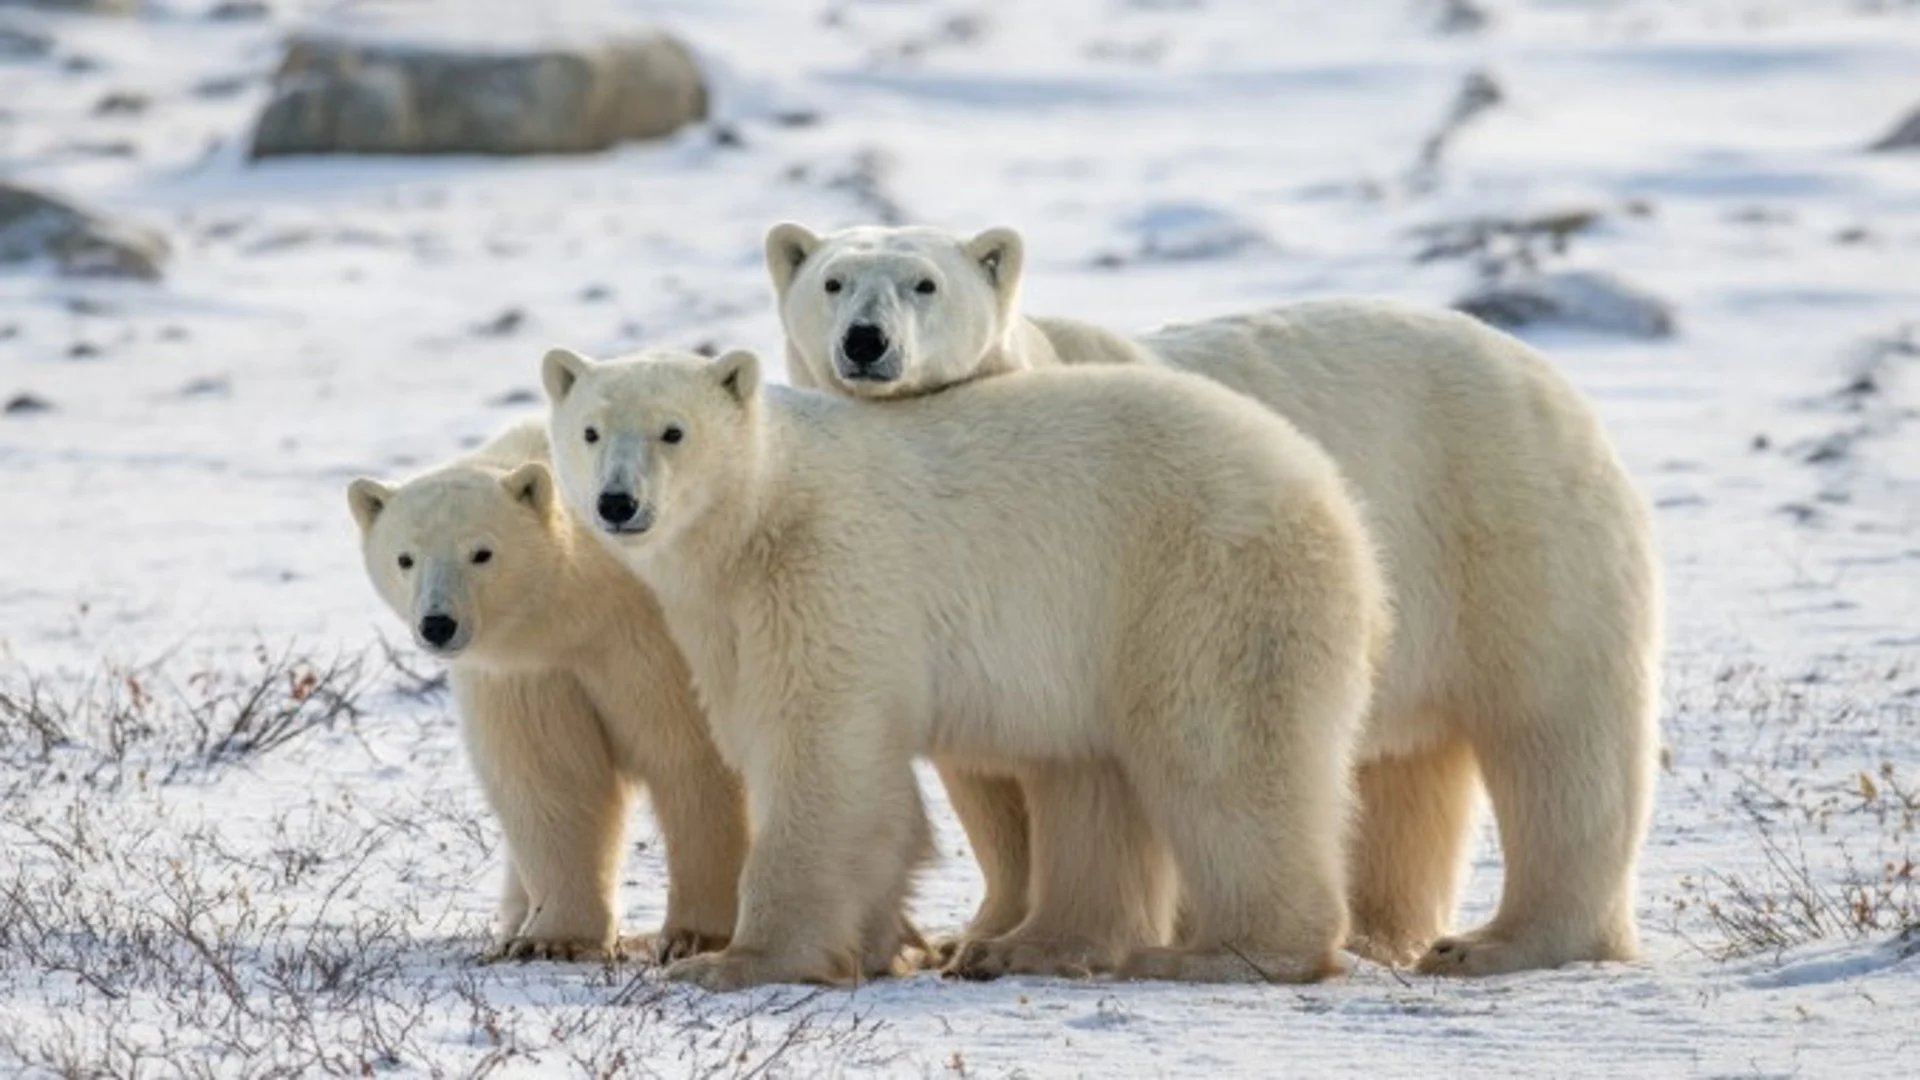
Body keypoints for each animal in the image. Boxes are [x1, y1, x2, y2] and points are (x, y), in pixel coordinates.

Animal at [351, 418, 748, 957]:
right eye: (405, 558)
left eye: (482, 553)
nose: (437, 624)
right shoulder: (531, 672)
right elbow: (549, 779)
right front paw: (552, 940)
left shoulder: (658, 644)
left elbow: (693, 758)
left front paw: (696, 936)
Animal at [533, 345, 1390, 991]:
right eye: (590, 430)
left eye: (673, 431)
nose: (617, 502)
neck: (761, 515)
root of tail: (1330, 492)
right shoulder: (722, 619)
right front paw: (881, 943)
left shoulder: (825, 571)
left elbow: (820, 748)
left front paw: (735, 960)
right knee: (1093, 778)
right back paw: (1024, 946)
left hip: (1200, 581)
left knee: (1219, 753)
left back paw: (1227, 952)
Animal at [764, 219, 1666, 976]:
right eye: (833, 281)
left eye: (924, 283)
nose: (866, 342)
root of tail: (1547, 377)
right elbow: (990, 782)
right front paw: (977, 936)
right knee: (1405, 774)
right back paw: (1381, 932)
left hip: (1511, 529)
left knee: (1556, 735)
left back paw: (1499, 943)